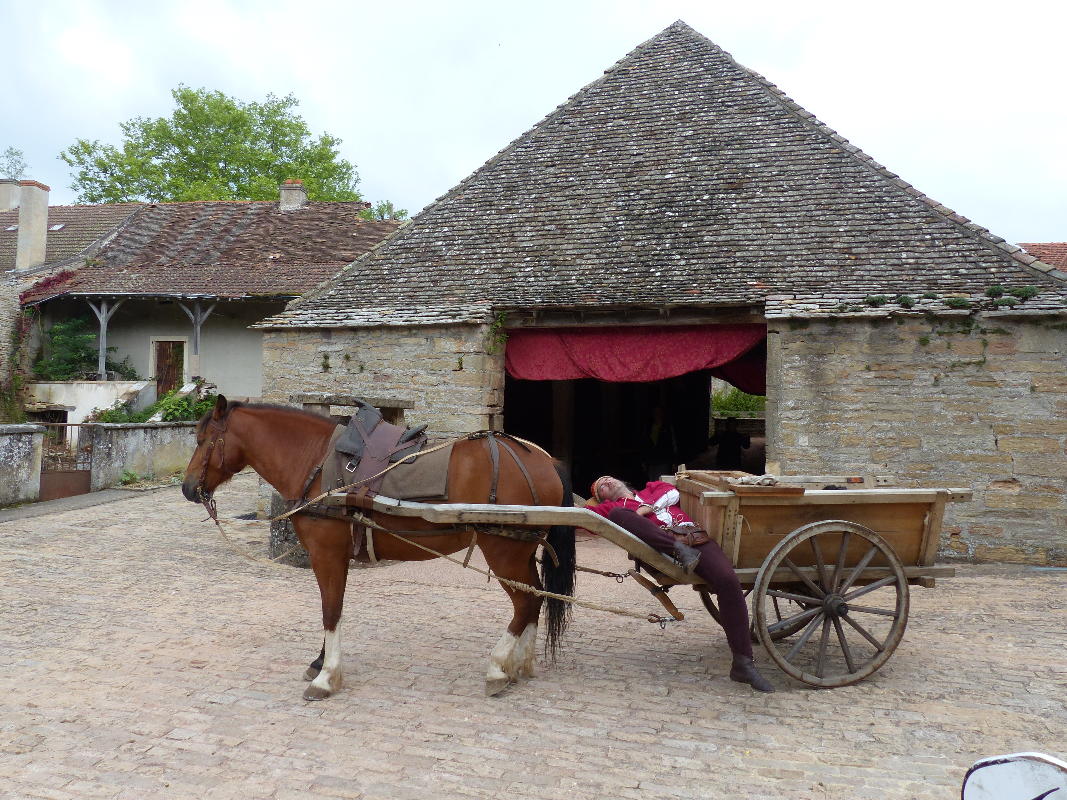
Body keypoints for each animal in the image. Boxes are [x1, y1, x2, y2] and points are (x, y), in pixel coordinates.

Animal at [181, 395, 575, 700]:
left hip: (503, 552)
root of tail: (544, 460)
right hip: (520, 551)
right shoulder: (335, 557)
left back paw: (497, 668)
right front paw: (320, 662)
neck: (317, 461)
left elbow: (330, 611)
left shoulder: (326, 554)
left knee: (525, 603)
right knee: (536, 597)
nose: (186, 488)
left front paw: (326, 677)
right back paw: (520, 664)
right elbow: (334, 608)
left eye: (203, 440)